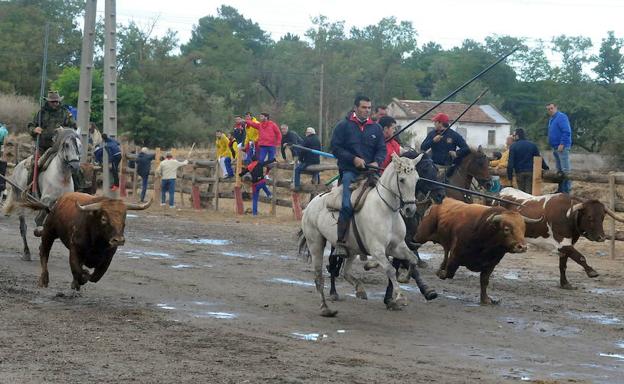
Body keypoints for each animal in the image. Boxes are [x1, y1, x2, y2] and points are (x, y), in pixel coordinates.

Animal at [2, 129, 83, 260]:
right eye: (66, 145)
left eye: (80, 145)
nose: (75, 166)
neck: (62, 178)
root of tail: (17, 167)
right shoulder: (46, 201)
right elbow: (40, 221)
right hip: (21, 201)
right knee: (23, 227)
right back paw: (27, 252)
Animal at [298, 154, 424, 318]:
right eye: (402, 179)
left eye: (417, 179)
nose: (410, 209)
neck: (386, 210)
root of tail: (311, 204)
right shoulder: (377, 250)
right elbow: (390, 269)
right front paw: (400, 297)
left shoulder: (397, 247)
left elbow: (413, 259)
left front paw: (405, 277)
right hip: (316, 244)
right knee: (319, 277)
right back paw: (326, 308)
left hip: (351, 249)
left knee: (345, 272)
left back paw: (359, 289)